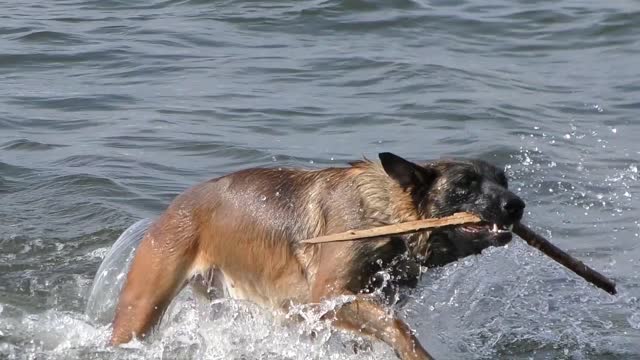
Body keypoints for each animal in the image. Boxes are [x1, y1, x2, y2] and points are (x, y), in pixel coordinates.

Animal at [110, 153, 524, 360]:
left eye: (503, 181)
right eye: (465, 185)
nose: (516, 205)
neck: (385, 216)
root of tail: (174, 206)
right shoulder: (327, 296)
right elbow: (398, 327)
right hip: (141, 307)